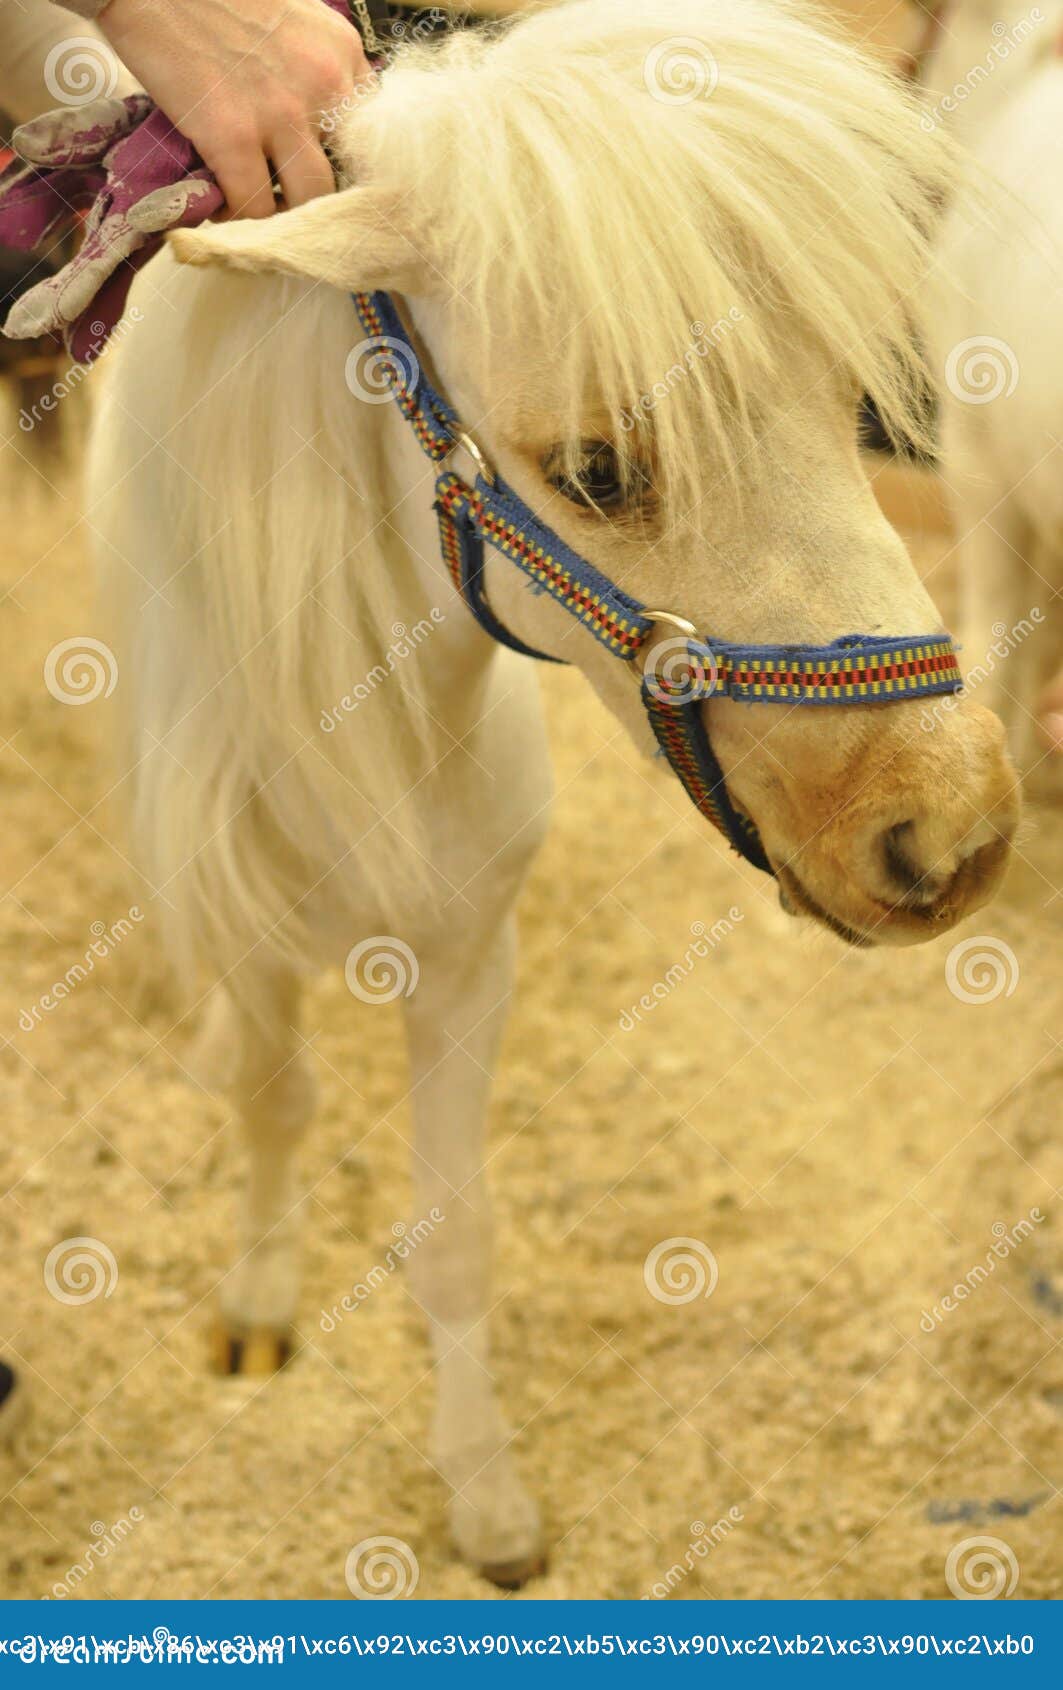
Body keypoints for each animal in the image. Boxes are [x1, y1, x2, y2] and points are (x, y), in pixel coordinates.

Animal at [88, 0, 1018, 1585]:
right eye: (594, 468)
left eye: (845, 403)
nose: (946, 836)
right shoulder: (253, 936)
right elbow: (276, 1104)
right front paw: (262, 1298)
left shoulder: (473, 950)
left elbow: (454, 1231)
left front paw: (486, 1496)